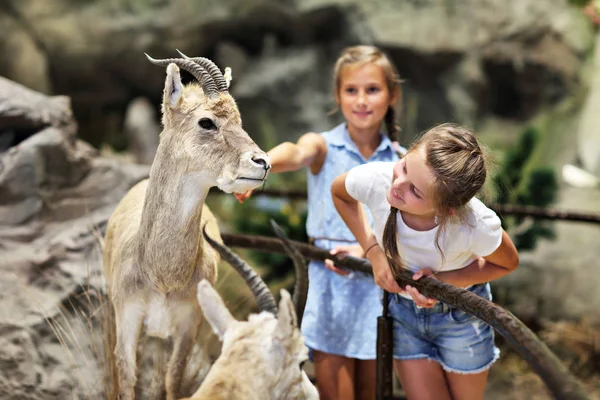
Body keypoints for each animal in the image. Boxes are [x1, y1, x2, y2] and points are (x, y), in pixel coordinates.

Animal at [102, 54, 270, 400]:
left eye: (239, 119)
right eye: (206, 121)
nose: (262, 162)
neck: (162, 274)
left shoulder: (188, 325)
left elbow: (173, 381)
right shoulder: (128, 319)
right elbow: (127, 380)